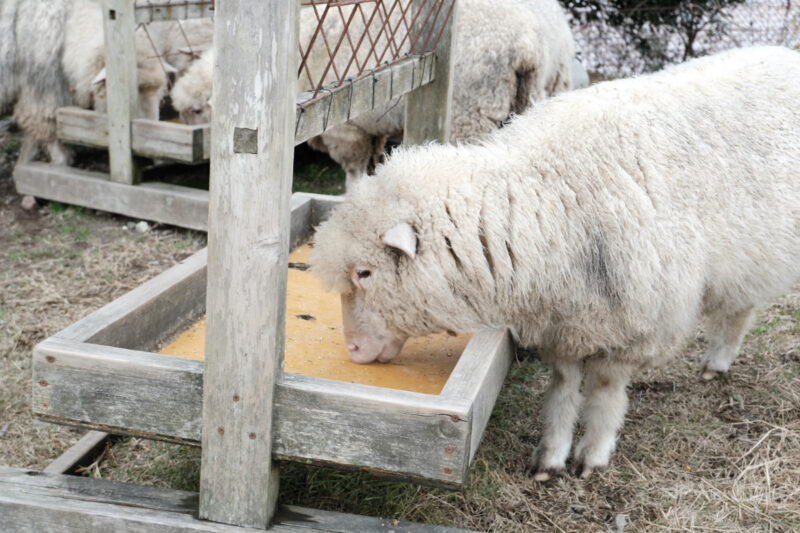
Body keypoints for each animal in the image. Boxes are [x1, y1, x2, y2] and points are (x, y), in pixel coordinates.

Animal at [310, 45, 800, 478]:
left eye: (365, 273)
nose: (353, 350)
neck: (542, 195)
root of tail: (784, 54)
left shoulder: (634, 325)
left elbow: (604, 394)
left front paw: (592, 455)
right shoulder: (565, 323)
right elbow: (563, 391)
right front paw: (550, 456)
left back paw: (717, 362)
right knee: (742, 304)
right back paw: (718, 360)